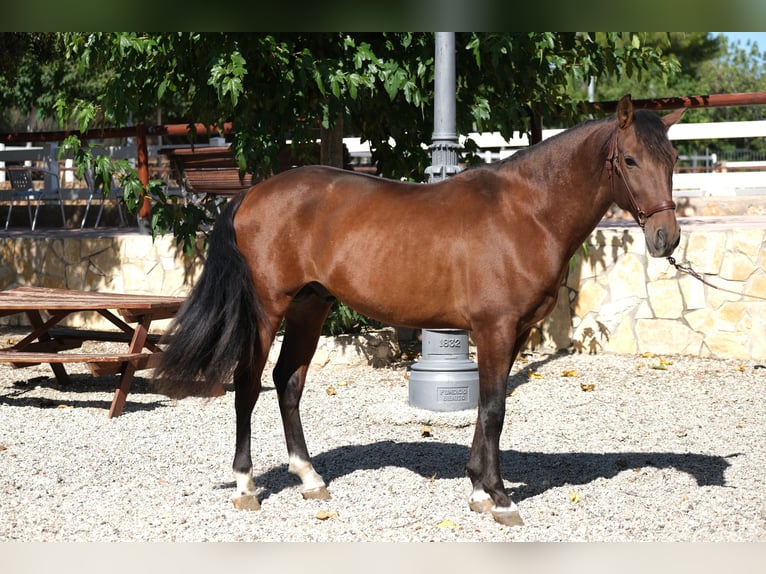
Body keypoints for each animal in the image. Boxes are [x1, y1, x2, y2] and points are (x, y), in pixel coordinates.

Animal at [153, 93, 688, 528]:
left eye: (674, 158)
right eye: (630, 159)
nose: (666, 238)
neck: (527, 212)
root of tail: (251, 194)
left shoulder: (512, 334)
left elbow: (490, 407)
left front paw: (478, 489)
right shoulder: (494, 329)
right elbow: (493, 409)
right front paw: (500, 498)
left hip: (311, 306)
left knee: (289, 381)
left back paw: (309, 477)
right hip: (268, 309)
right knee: (248, 385)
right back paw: (245, 486)